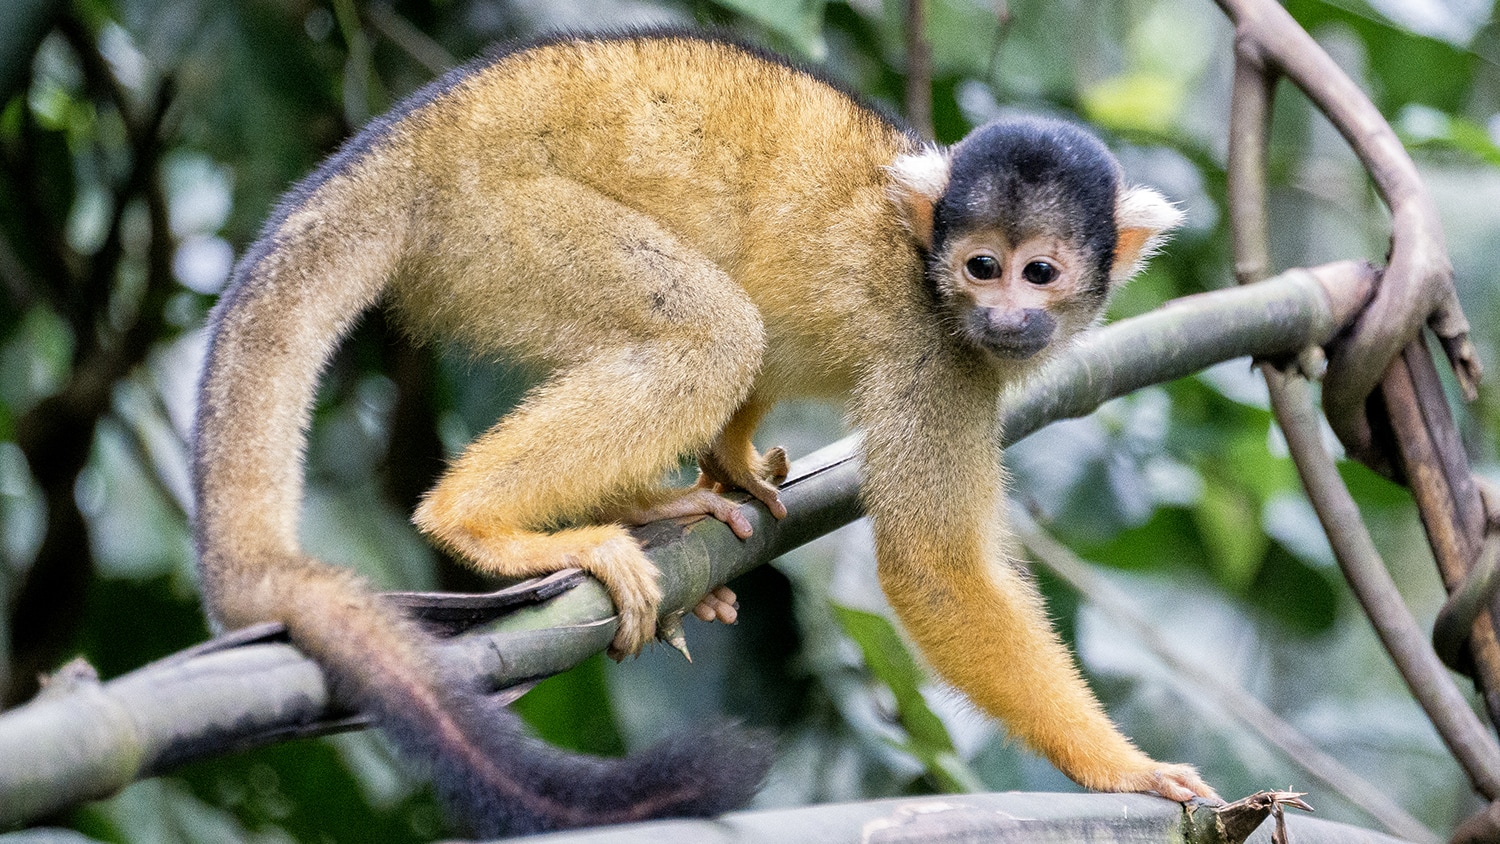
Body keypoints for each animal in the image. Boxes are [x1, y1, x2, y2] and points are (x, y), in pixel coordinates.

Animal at [191, 29, 1217, 837]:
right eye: (981, 267)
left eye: (1039, 272)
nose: (1006, 317)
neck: (925, 265)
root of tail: (403, 145)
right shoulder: (940, 352)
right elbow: (931, 569)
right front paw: (1120, 767)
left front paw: (730, 464)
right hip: (502, 226)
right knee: (713, 330)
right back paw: (474, 521)